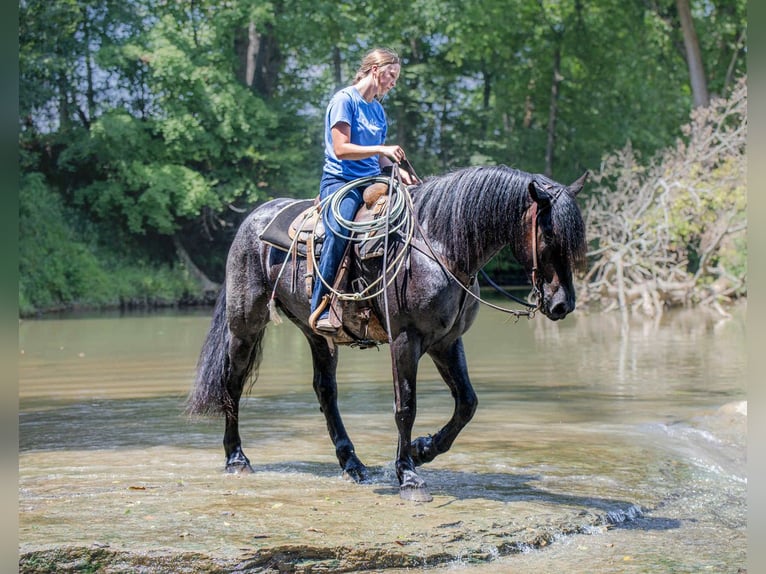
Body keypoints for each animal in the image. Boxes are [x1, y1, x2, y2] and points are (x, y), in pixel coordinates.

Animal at [187, 164, 588, 502]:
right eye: (548, 232)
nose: (562, 305)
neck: (439, 247)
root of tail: (252, 220)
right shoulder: (406, 339)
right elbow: (405, 406)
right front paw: (408, 477)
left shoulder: (446, 342)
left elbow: (467, 403)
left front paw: (422, 450)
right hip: (244, 324)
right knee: (232, 385)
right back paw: (237, 459)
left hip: (316, 333)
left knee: (325, 390)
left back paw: (352, 464)